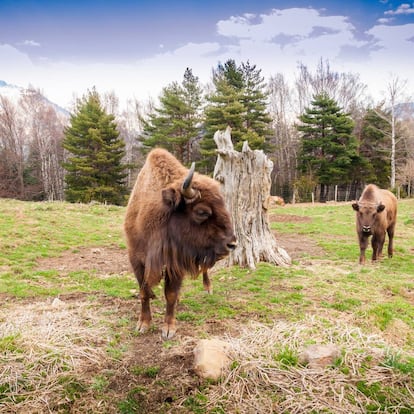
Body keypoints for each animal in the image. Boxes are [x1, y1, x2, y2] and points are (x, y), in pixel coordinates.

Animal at [123, 149, 236, 340]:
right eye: (202, 212)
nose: (232, 243)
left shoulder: (175, 264)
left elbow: (170, 294)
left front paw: (169, 329)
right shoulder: (136, 259)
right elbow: (144, 291)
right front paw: (143, 324)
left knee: (205, 269)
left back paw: (208, 289)